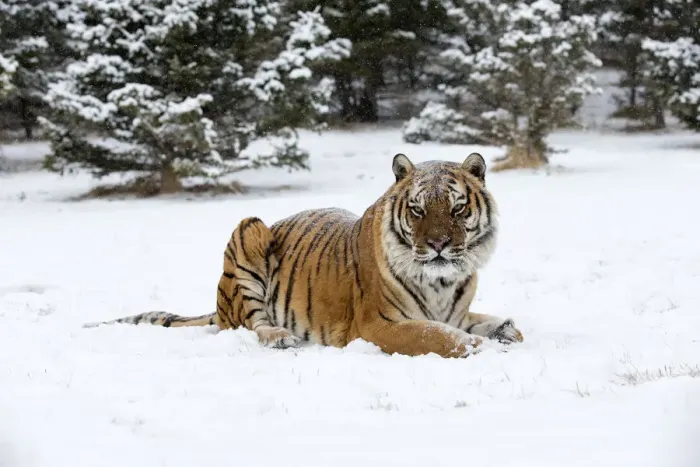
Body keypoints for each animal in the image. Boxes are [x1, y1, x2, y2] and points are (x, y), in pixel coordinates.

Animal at [85, 152, 523, 358]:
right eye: (417, 209)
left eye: (457, 208)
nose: (438, 245)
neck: (442, 280)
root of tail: (219, 305)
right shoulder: (378, 324)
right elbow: (438, 336)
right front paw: (480, 348)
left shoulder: (456, 311)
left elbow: (489, 321)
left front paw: (507, 331)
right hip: (250, 232)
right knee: (251, 324)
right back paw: (282, 337)